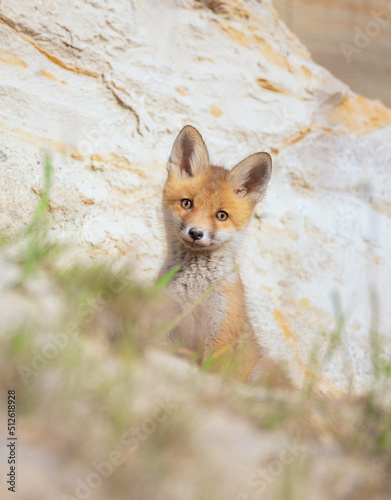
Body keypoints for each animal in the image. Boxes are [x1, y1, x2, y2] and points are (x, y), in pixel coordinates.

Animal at [158, 127, 288, 384]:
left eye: (221, 215)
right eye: (186, 203)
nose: (196, 233)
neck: (194, 291)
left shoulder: (221, 336)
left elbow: (210, 374)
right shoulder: (165, 321)